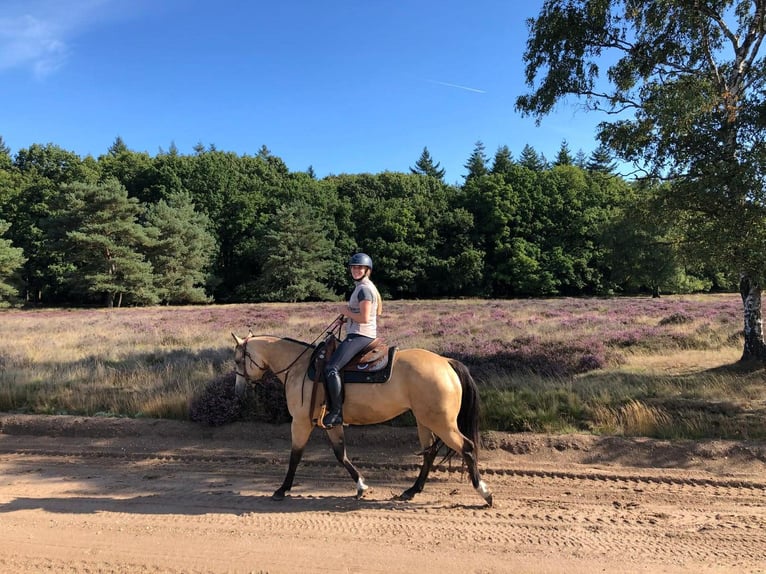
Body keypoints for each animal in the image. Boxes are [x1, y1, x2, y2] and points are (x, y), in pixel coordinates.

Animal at [232, 333, 493, 507]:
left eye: (237, 360)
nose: (237, 390)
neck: (300, 367)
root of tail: (446, 362)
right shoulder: (331, 423)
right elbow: (341, 454)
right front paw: (360, 485)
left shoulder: (301, 422)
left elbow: (295, 456)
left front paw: (282, 489)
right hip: (424, 421)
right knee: (429, 453)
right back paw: (411, 491)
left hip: (443, 424)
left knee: (467, 448)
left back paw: (484, 493)